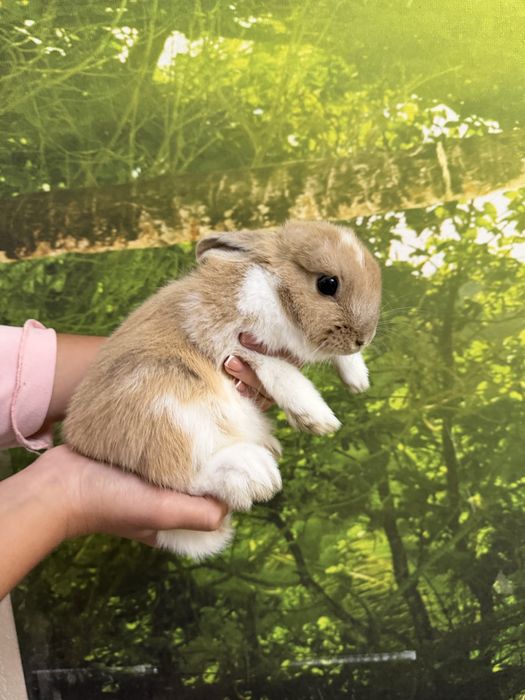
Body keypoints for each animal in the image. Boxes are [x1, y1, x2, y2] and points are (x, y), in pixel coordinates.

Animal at [63, 220, 381, 559]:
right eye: (327, 284)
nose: (363, 338)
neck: (274, 289)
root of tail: (81, 443)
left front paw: (357, 377)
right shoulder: (227, 340)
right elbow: (277, 368)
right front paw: (317, 416)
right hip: (163, 397)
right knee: (179, 472)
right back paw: (252, 472)